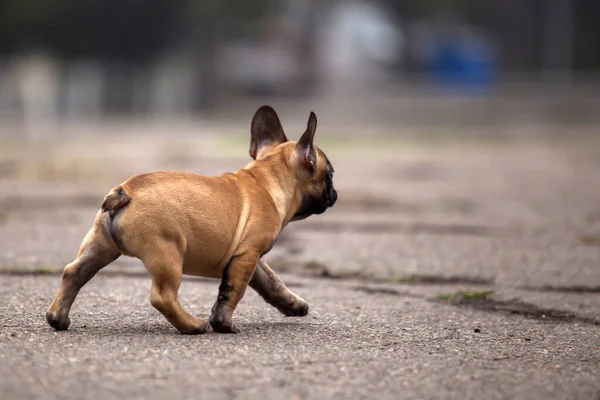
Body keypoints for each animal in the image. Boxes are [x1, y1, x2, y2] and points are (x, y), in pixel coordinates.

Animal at [47, 106, 338, 334]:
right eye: (330, 174)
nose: (334, 194)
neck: (268, 179)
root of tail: (125, 191)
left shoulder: (249, 257)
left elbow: (271, 282)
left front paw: (293, 304)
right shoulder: (247, 255)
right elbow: (233, 291)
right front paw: (224, 324)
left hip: (101, 245)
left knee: (74, 272)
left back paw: (57, 318)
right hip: (167, 253)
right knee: (162, 297)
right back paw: (193, 326)